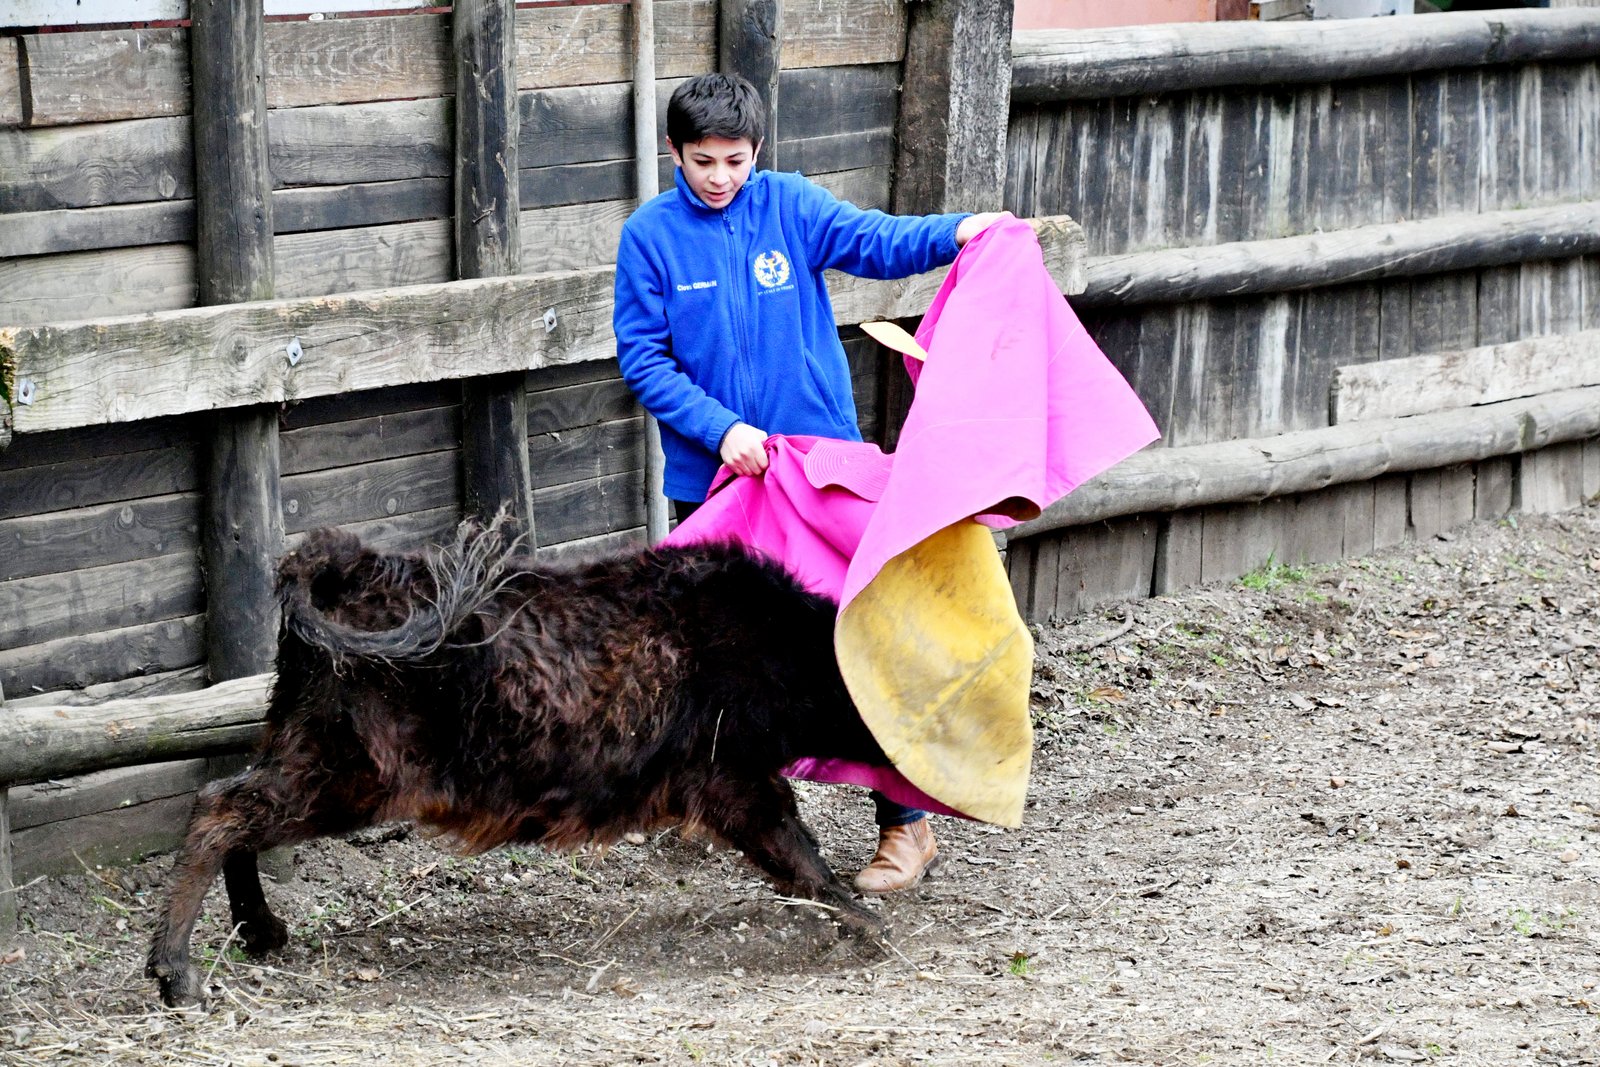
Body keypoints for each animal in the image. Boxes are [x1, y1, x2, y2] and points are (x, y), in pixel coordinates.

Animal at [148, 524, 889, 1011]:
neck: (783, 642)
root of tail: (344, 566)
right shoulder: (730, 776)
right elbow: (796, 845)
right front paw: (866, 925)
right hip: (351, 776)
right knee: (220, 810)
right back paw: (177, 975)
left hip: (311, 754)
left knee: (226, 800)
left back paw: (260, 932)